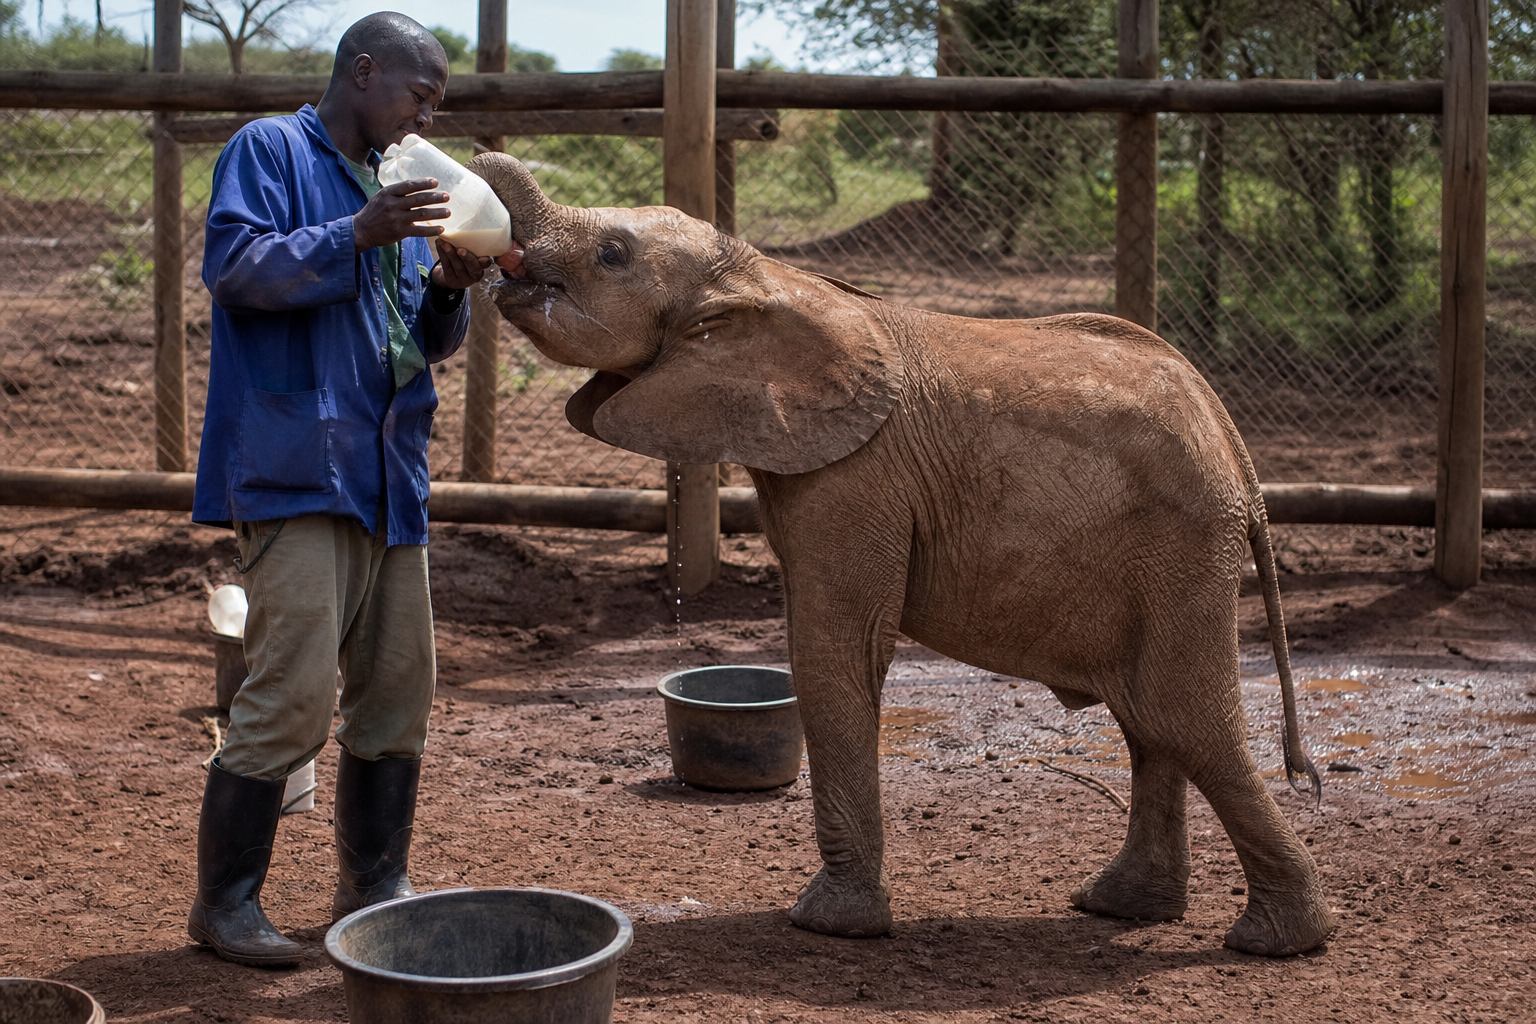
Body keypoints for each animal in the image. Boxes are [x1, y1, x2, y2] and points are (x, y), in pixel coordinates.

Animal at [468, 152, 1337, 958]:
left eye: (613, 254)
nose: (484, 256)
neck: (759, 274)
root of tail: (1235, 447)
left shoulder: (857, 478)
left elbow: (835, 654)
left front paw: (829, 926)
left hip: (1180, 548)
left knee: (1183, 719)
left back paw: (1277, 942)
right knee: (1148, 724)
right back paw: (1121, 909)